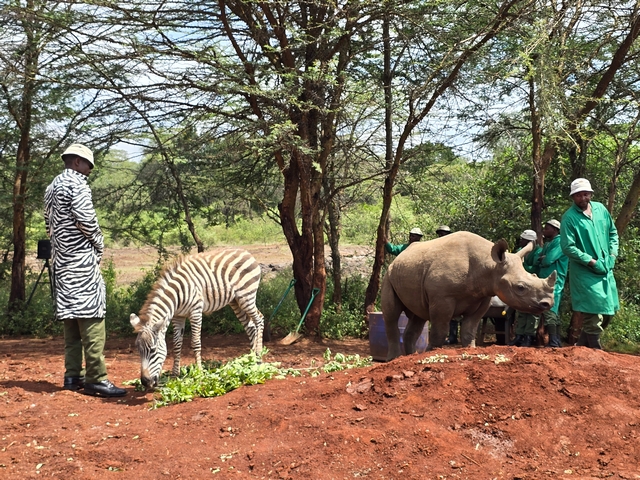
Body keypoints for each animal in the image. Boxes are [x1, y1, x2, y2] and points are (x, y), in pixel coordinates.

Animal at [129, 248, 264, 388]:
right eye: (138, 350)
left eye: (153, 350)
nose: (145, 382)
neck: (176, 296)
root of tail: (245, 251)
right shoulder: (178, 316)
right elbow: (177, 344)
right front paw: (175, 375)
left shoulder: (196, 311)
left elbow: (195, 342)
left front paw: (199, 372)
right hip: (235, 301)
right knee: (250, 327)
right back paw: (250, 360)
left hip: (246, 296)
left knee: (259, 319)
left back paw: (259, 357)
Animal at [381, 231, 556, 360]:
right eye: (520, 288)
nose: (548, 303)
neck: (489, 265)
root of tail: (398, 257)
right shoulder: (442, 298)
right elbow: (440, 329)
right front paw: (431, 352)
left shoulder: (483, 297)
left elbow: (469, 329)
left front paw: (470, 350)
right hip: (388, 275)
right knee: (392, 315)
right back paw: (394, 359)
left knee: (418, 316)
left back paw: (409, 357)